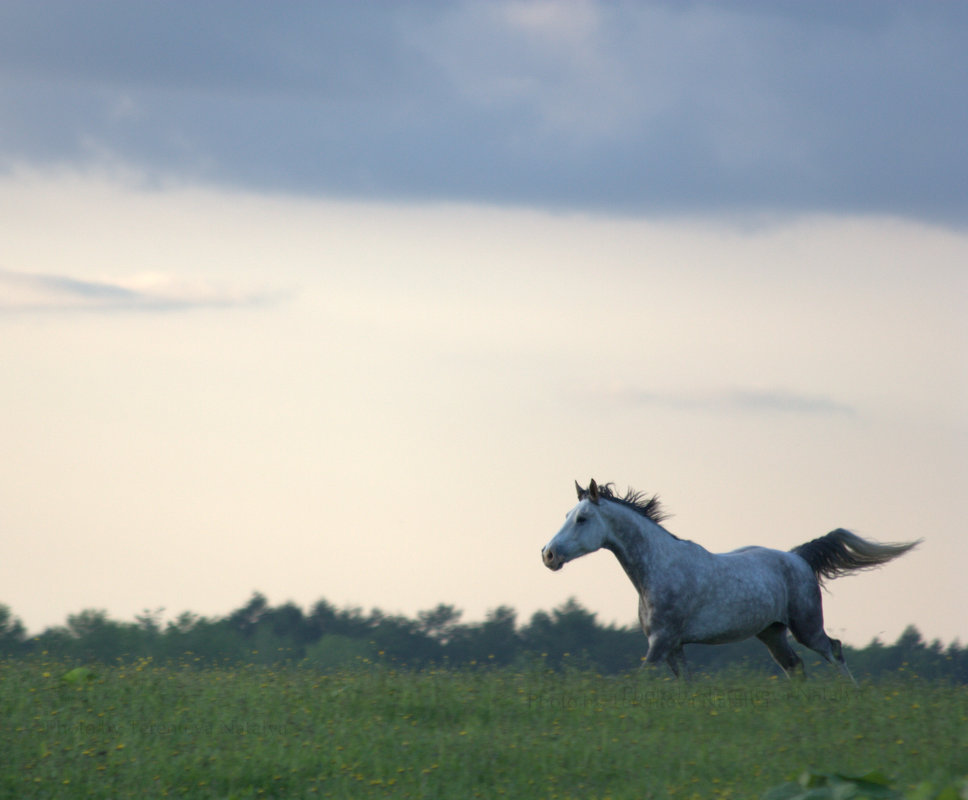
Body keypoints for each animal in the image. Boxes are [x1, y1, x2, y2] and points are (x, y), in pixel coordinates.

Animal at [540, 482, 920, 680]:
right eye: (566, 515)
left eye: (582, 518)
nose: (548, 554)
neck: (660, 568)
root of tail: (798, 557)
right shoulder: (673, 646)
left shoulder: (661, 642)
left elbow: (642, 679)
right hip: (772, 633)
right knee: (795, 667)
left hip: (807, 626)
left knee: (835, 651)